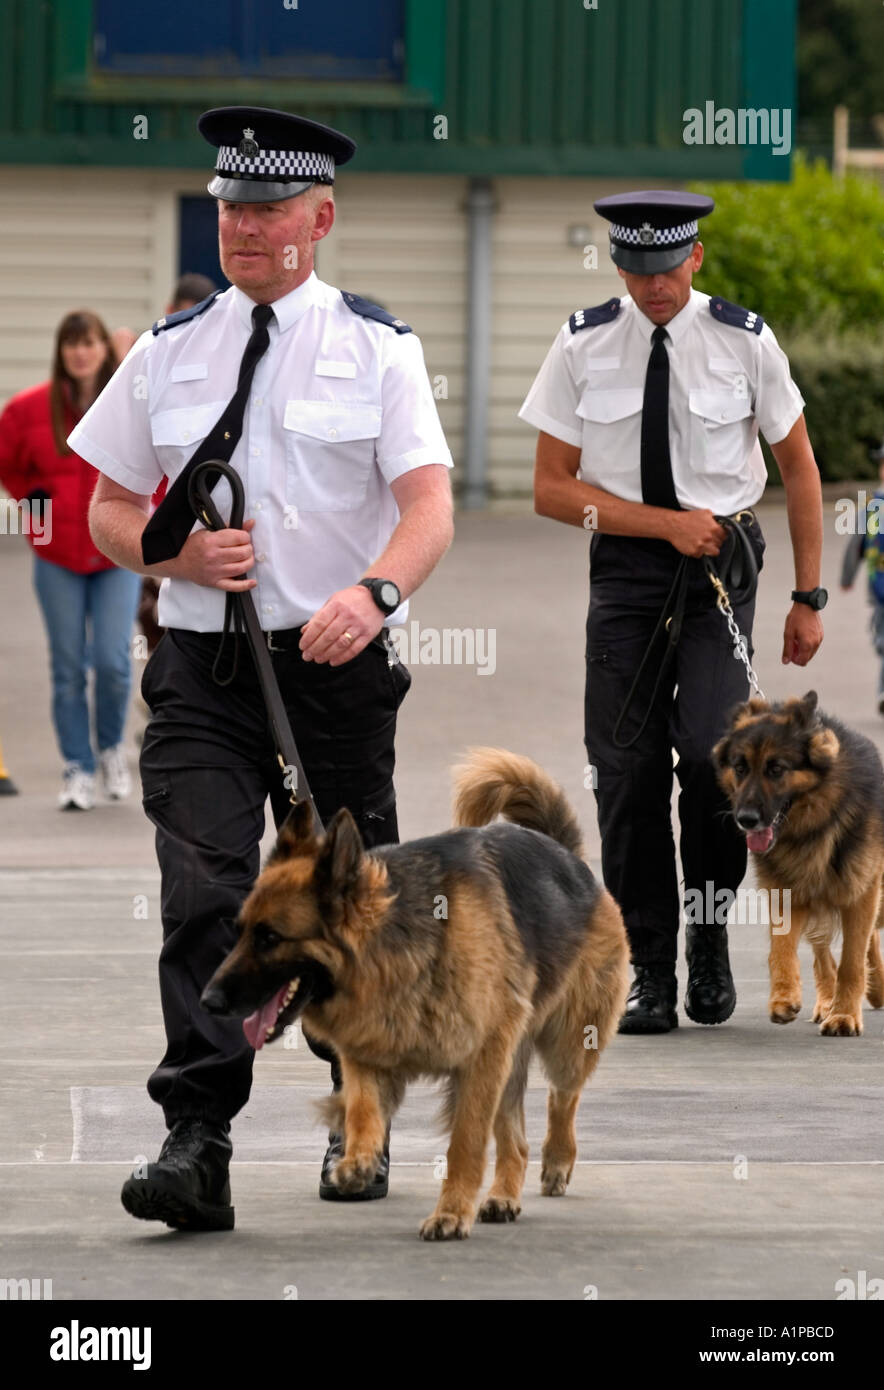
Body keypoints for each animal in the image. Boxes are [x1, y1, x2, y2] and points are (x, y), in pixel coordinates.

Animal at [201, 756, 628, 1245]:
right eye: (240, 932)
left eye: (269, 938)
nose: (207, 1001)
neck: (391, 945)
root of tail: (566, 855)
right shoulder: (368, 1047)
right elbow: (362, 1107)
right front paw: (358, 1160)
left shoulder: (480, 1062)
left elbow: (465, 1144)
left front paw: (451, 1212)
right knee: (517, 1142)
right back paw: (503, 1195)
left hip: (568, 1043)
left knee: (563, 1097)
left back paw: (556, 1159)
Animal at [711, 692, 884, 1034]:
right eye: (740, 768)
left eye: (776, 769)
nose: (746, 820)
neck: (813, 827)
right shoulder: (787, 893)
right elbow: (780, 950)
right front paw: (784, 997)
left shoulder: (860, 891)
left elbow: (853, 960)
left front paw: (845, 1015)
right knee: (822, 956)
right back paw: (826, 1001)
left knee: (868, 938)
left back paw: (874, 990)